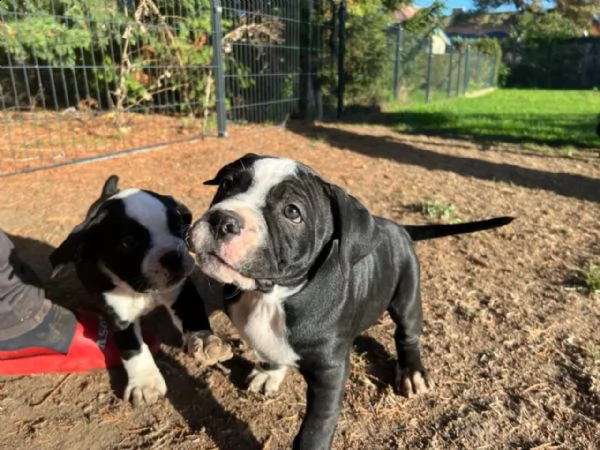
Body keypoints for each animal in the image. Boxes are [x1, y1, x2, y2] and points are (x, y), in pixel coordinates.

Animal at [50, 175, 233, 404]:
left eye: (179, 226)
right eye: (129, 243)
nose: (172, 256)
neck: (140, 290)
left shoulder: (181, 291)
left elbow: (193, 314)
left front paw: (204, 339)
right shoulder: (119, 316)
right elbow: (133, 348)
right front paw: (145, 382)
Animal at [189, 155, 516, 450]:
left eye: (292, 212)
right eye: (227, 184)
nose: (223, 219)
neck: (271, 296)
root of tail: (396, 226)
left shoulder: (330, 373)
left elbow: (316, 428)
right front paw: (271, 371)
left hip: (407, 295)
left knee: (407, 334)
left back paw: (412, 371)